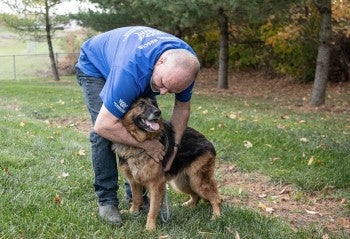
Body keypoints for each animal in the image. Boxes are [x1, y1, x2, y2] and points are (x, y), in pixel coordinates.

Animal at [112, 96, 221, 230]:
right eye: (141, 104)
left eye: (154, 103)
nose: (158, 112)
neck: (140, 145)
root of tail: (207, 141)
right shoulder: (134, 181)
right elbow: (137, 199)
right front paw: (133, 212)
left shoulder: (157, 183)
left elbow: (153, 208)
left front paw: (150, 228)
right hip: (181, 183)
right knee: (197, 196)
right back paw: (189, 207)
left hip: (198, 182)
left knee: (216, 198)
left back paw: (216, 217)